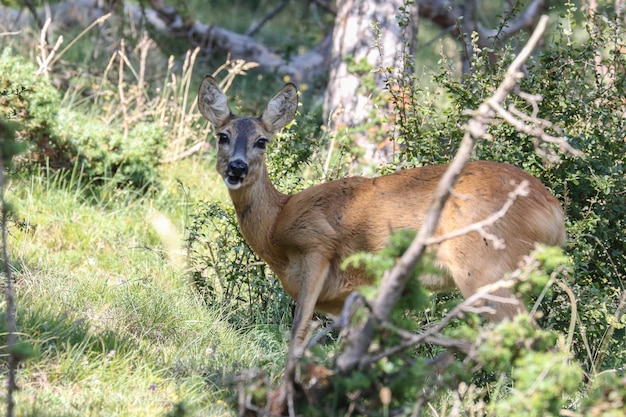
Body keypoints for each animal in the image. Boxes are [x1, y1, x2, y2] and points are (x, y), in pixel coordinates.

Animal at [196, 75, 564, 354]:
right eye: (223, 136)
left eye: (262, 141)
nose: (237, 167)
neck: (276, 224)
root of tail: (555, 213)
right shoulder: (355, 294)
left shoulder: (317, 244)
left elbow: (298, 333)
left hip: (486, 267)